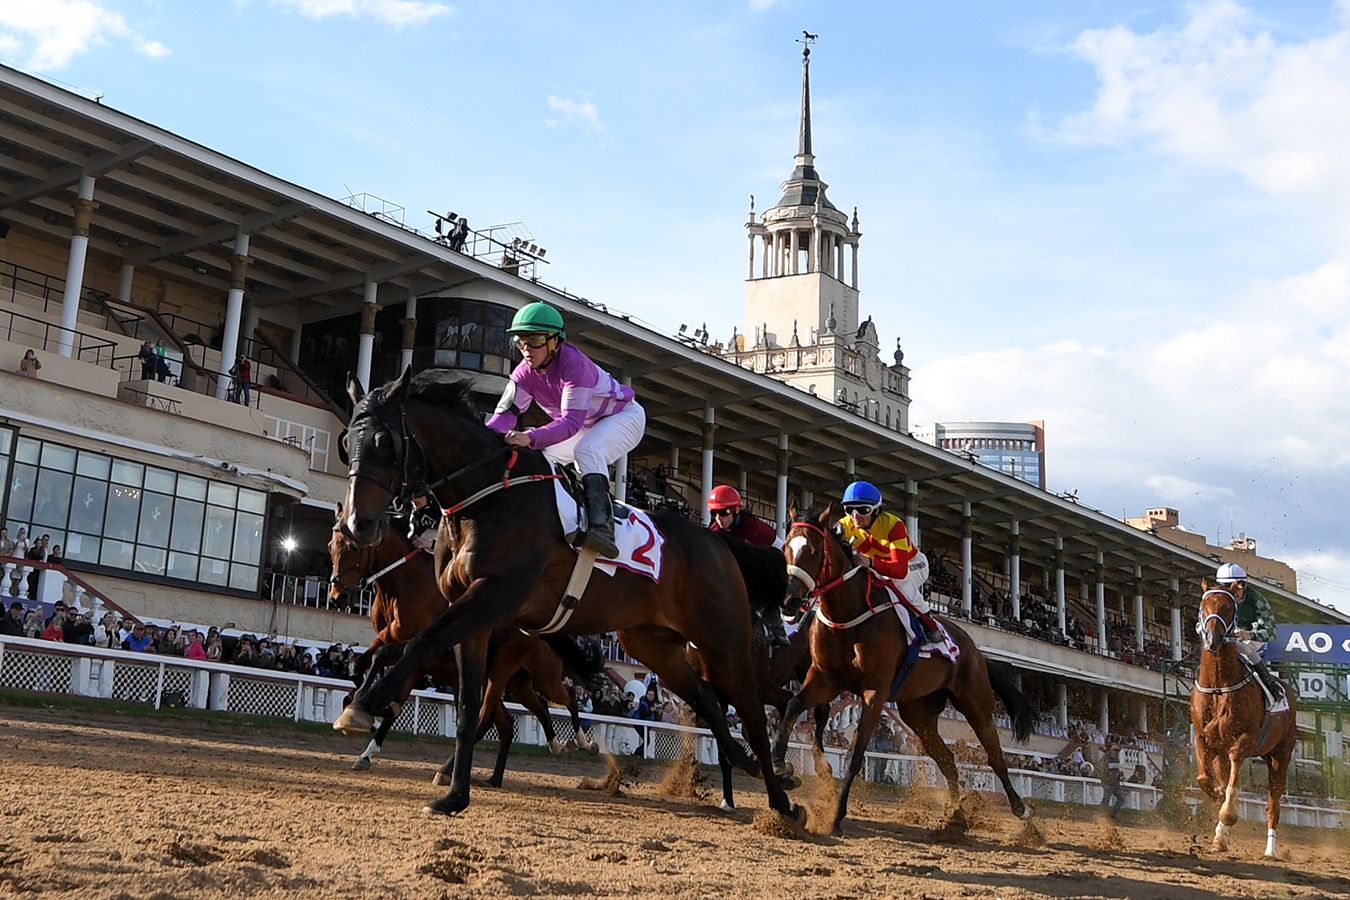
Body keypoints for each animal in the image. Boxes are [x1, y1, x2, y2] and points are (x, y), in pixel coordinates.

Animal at [326, 512, 596, 788]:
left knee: (556, 700)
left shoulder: (414, 648)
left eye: (352, 548)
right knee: (519, 717)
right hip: (517, 682)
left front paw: (366, 707)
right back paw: (507, 770)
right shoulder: (397, 646)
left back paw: (582, 742)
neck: (406, 584)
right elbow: (366, 664)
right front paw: (361, 713)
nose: (337, 596)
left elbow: (382, 662)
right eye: (331, 547)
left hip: (525, 673)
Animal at [772, 507, 1031, 836]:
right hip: (918, 713)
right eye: (786, 548)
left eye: (815, 552)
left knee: (995, 756)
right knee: (947, 759)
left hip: (976, 704)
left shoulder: (875, 691)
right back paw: (956, 817)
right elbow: (793, 705)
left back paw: (1021, 810)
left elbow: (856, 753)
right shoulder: (824, 679)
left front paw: (836, 817)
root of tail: (976, 651)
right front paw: (780, 767)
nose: (789, 601)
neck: (848, 614)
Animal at [1193, 577, 1296, 858]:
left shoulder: (1246, 737)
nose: (1213, 639)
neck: (1219, 686)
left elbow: (1234, 773)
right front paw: (1216, 800)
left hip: (1280, 754)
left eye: (1229, 608)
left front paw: (1228, 814)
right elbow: (1204, 778)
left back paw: (1270, 849)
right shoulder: (1203, 737)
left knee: (1273, 803)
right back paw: (1220, 836)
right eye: (1203, 606)